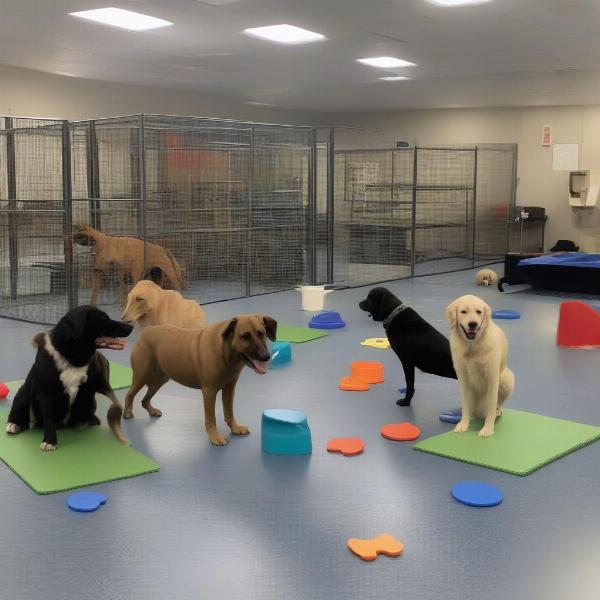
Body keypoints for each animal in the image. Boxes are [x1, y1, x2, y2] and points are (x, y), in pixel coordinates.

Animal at [6, 308, 132, 452]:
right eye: (104, 318)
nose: (131, 327)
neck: (71, 358)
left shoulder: (89, 388)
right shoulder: (46, 393)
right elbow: (48, 419)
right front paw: (50, 441)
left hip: (91, 402)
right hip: (24, 392)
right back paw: (14, 424)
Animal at [125, 314, 278, 446]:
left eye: (261, 333)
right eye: (245, 336)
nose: (266, 356)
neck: (225, 351)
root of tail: (145, 332)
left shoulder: (229, 388)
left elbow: (229, 412)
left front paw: (235, 428)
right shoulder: (209, 392)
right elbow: (211, 418)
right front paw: (215, 437)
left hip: (160, 380)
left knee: (145, 400)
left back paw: (152, 411)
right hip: (141, 376)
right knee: (130, 394)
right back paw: (127, 412)